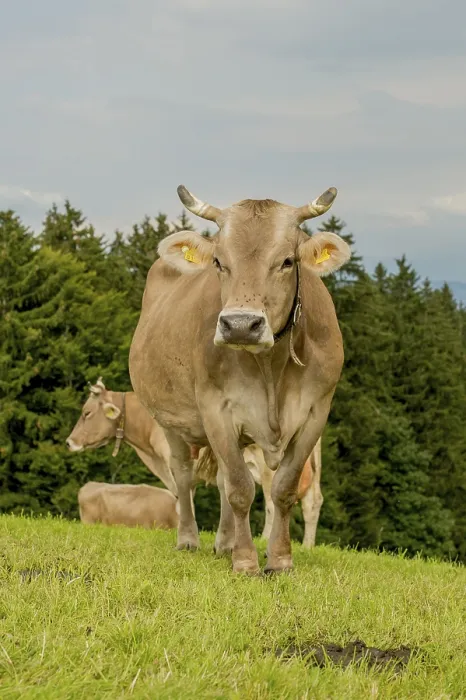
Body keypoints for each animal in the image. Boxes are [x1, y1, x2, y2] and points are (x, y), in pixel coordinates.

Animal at [66, 378, 324, 546]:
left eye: (86, 413)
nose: (70, 442)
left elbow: (183, 497)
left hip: (269, 466)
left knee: (272, 502)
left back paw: (265, 539)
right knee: (312, 503)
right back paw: (307, 546)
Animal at [129, 184, 350, 574]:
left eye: (287, 261)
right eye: (219, 262)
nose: (241, 325)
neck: (270, 368)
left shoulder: (315, 414)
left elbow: (283, 489)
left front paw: (280, 560)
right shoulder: (215, 410)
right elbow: (239, 488)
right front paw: (246, 561)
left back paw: (224, 542)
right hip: (169, 420)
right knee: (184, 475)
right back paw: (190, 539)